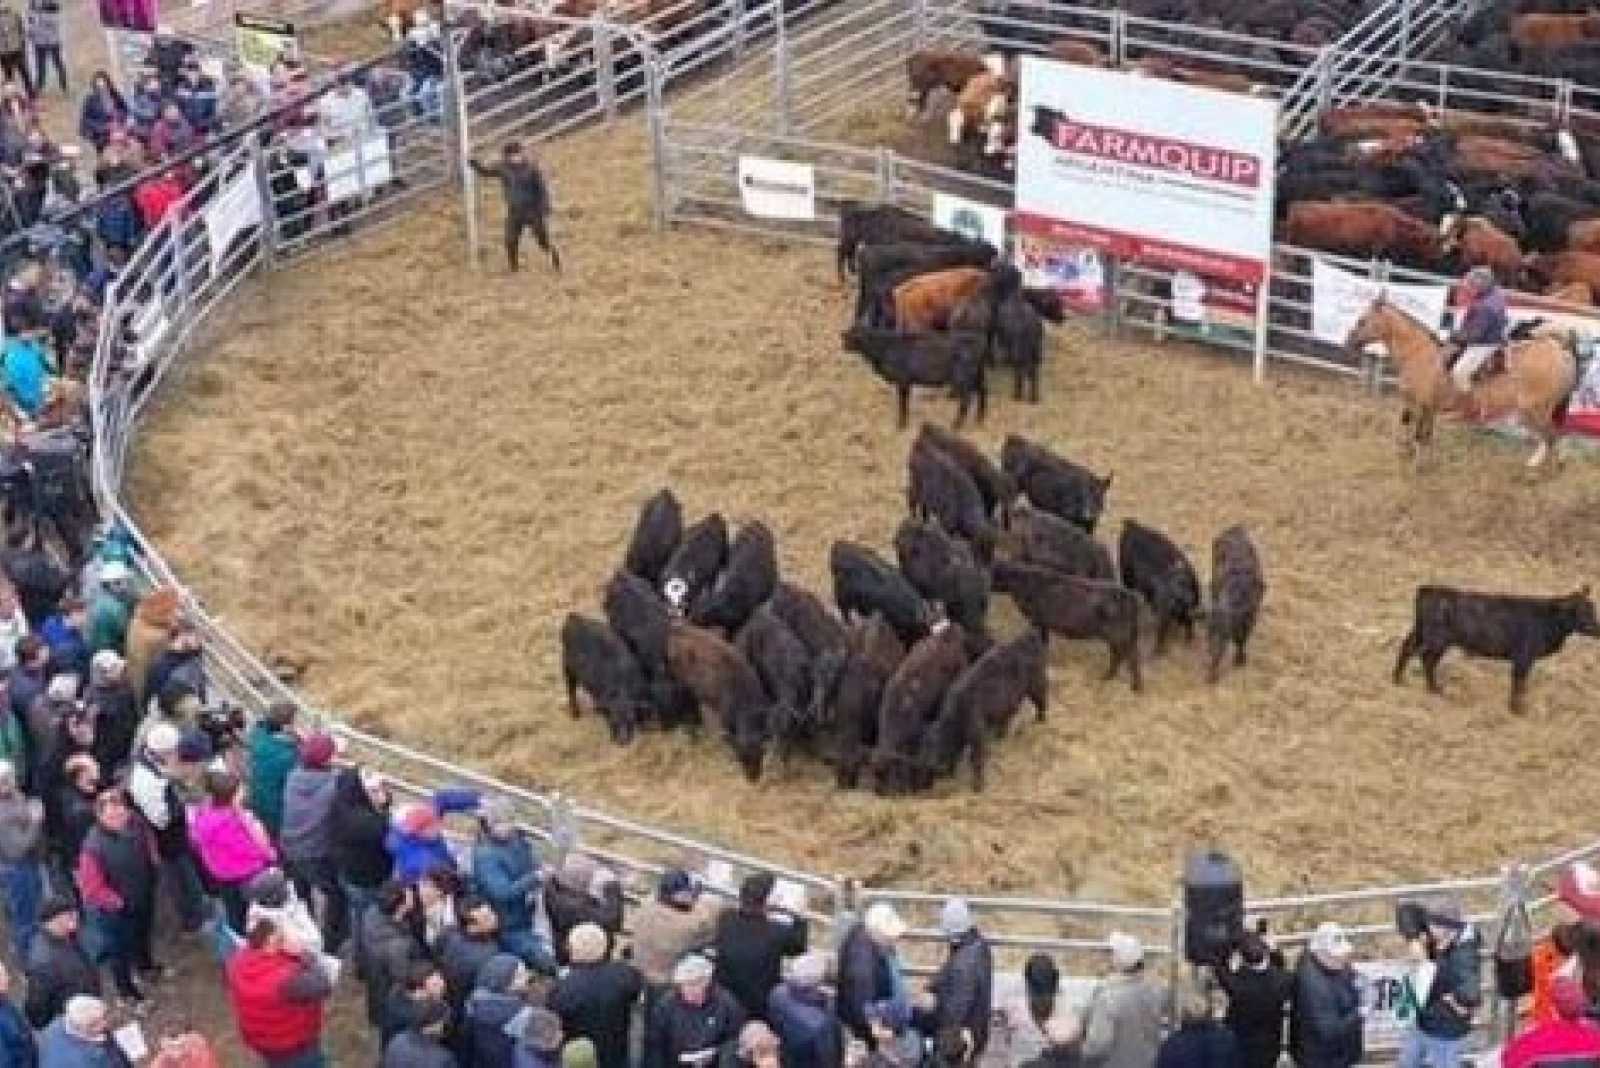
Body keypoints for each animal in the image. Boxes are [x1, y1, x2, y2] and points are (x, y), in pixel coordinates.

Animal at [556, 613, 643, 748]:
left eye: (630, 719)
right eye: (613, 721)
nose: (623, 741)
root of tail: (573, 617)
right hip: (568, 668)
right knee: (571, 690)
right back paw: (575, 714)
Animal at [1344, 295, 1580, 470]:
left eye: (1362, 320)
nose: (1349, 341)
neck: (1420, 355)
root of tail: (1559, 350)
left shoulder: (1423, 405)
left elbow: (1420, 435)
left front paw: (1417, 464)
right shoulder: (1422, 406)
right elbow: (1420, 433)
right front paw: (1414, 457)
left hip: (1534, 409)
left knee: (1551, 437)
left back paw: (1546, 469)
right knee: (1552, 437)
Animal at [1388, 585, 1600, 709]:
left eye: (1593, 609)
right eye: (1582, 612)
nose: (1598, 629)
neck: (1548, 620)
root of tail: (1429, 589)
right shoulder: (1523, 656)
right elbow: (1519, 683)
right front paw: (1517, 709)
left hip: (1420, 632)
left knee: (1407, 648)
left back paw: (1399, 680)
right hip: (1437, 639)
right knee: (1426, 658)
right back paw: (1433, 689)